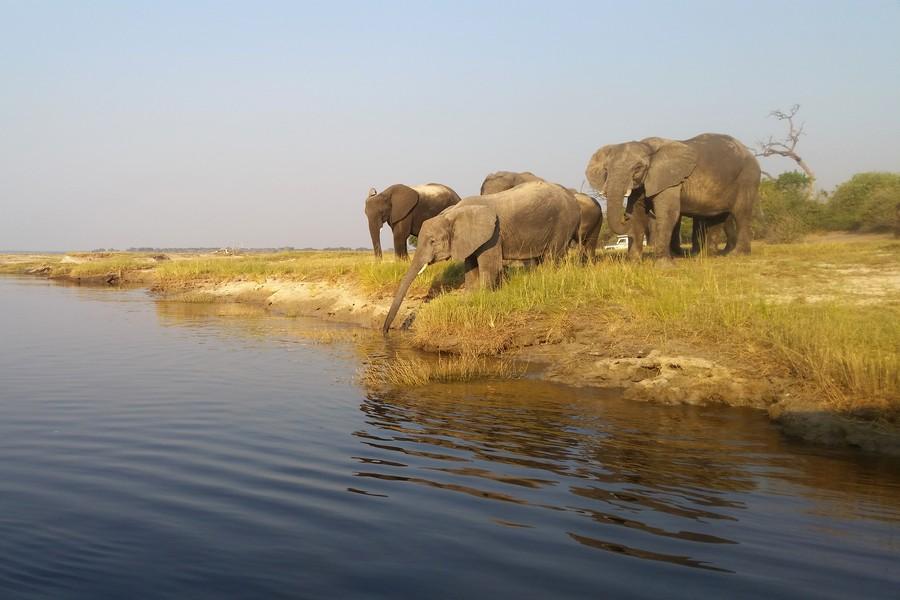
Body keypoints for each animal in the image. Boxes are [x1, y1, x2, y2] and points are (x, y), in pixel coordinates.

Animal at [382, 183, 580, 332]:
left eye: (432, 241)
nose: (386, 331)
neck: (452, 214)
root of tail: (573, 197)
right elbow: (470, 267)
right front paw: (469, 297)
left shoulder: (493, 234)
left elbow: (489, 266)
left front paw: (482, 296)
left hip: (563, 223)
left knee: (552, 256)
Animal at [584, 134, 760, 258]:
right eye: (606, 170)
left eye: (638, 168)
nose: (625, 218)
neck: (647, 146)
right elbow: (638, 212)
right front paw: (634, 261)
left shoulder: (669, 180)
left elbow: (668, 213)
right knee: (717, 217)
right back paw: (708, 255)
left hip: (747, 177)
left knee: (741, 213)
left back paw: (736, 254)